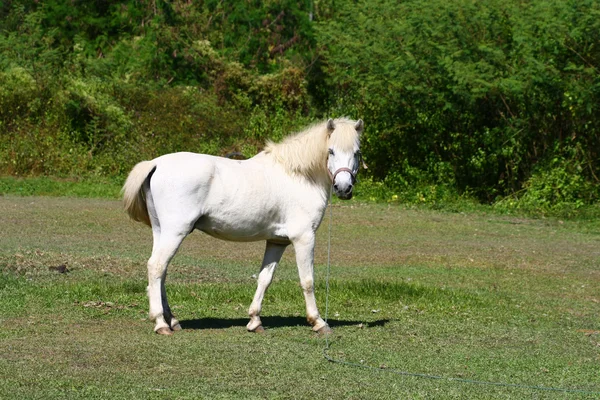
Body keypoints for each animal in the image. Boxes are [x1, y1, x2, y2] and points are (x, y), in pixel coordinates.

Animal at [121, 118, 364, 334]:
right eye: (331, 151)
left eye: (356, 152)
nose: (344, 188)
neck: (299, 176)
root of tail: (156, 163)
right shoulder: (304, 238)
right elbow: (307, 280)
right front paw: (318, 322)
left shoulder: (277, 241)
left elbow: (265, 278)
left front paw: (255, 321)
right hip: (175, 232)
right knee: (156, 267)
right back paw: (160, 323)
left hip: (161, 232)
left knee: (161, 272)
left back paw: (172, 320)